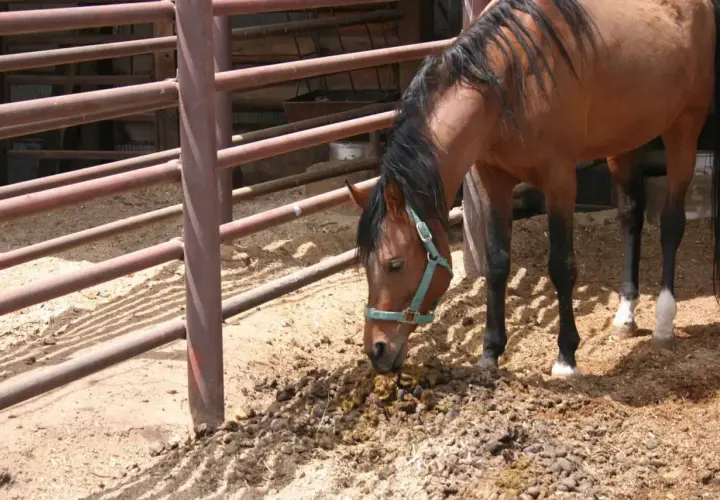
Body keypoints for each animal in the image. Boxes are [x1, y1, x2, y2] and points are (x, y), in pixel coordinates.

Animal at [345, 0, 720, 376]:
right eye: (366, 264)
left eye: (395, 264)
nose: (376, 350)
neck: (509, 81)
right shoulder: (493, 179)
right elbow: (497, 264)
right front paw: (490, 352)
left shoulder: (559, 180)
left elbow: (561, 265)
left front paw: (566, 356)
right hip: (625, 140)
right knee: (632, 216)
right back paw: (625, 316)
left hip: (684, 128)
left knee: (671, 224)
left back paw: (664, 322)